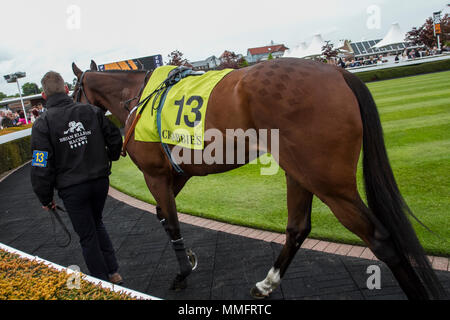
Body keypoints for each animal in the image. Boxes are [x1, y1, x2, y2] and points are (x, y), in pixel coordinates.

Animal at [72, 58, 444, 300]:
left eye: (71, 91)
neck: (138, 96)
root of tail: (337, 70)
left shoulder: (155, 175)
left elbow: (172, 221)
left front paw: (182, 273)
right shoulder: (177, 172)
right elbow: (164, 215)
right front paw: (189, 258)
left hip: (329, 182)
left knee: (379, 237)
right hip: (299, 171)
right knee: (298, 227)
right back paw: (266, 283)